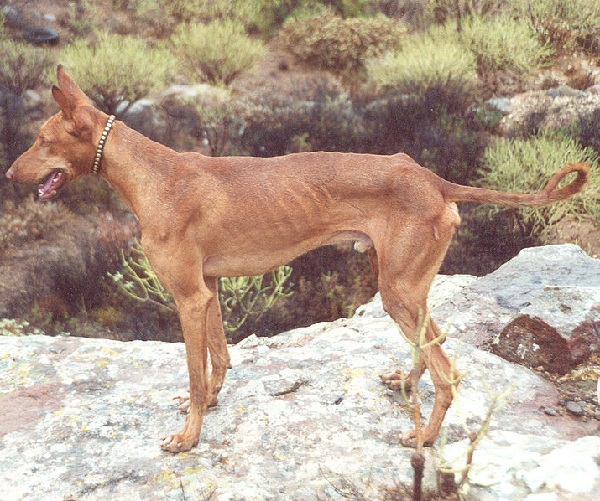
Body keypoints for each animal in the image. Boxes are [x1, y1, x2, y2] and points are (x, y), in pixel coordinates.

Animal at [5, 64, 592, 452]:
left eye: (41, 139)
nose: (9, 174)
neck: (153, 175)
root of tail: (431, 176)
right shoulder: (209, 291)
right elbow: (220, 358)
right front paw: (213, 403)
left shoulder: (188, 297)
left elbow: (195, 373)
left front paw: (188, 437)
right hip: (405, 286)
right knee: (435, 346)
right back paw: (406, 383)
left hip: (398, 289)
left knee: (448, 373)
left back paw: (422, 438)